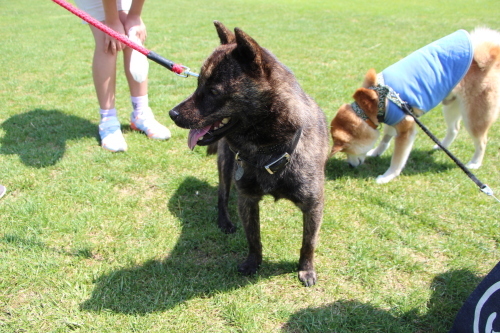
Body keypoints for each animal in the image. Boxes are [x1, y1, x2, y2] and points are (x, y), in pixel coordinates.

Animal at [170, 21, 330, 286]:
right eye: (198, 83)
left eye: (213, 91)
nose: (172, 114)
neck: (269, 149)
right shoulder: (247, 199)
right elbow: (254, 239)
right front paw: (253, 263)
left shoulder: (313, 205)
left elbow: (309, 243)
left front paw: (306, 269)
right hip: (226, 166)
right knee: (222, 196)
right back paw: (224, 221)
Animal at [330, 27, 498, 184]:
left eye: (346, 150)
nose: (350, 166)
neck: (373, 105)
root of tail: (490, 56)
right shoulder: (392, 117)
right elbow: (386, 137)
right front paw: (377, 152)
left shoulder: (405, 126)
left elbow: (398, 158)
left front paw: (387, 176)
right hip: (450, 105)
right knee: (454, 129)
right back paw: (441, 146)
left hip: (473, 115)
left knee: (482, 140)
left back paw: (475, 163)